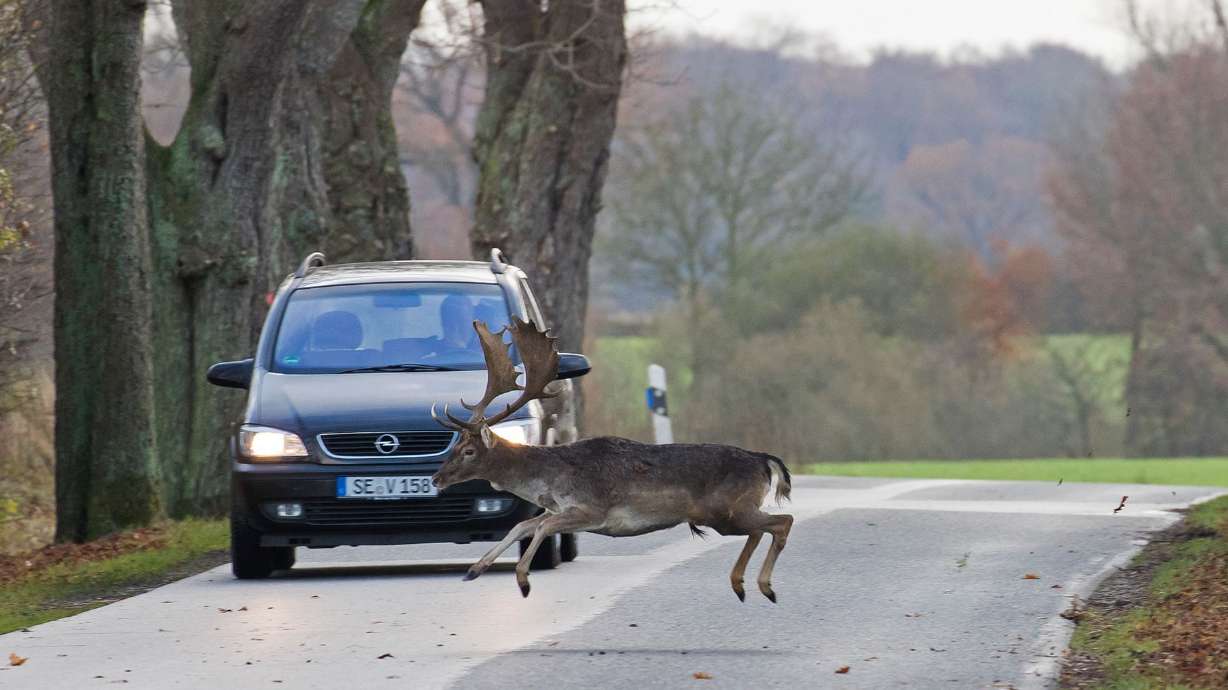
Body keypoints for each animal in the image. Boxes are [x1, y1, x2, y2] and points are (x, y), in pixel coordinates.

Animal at [430, 317, 794, 601]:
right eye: (457, 445)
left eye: (469, 451)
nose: (436, 478)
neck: (549, 479)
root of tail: (763, 460)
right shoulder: (560, 509)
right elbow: (523, 525)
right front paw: (474, 570)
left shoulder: (592, 509)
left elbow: (542, 526)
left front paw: (522, 579)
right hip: (728, 515)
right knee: (763, 528)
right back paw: (742, 585)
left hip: (727, 510)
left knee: (782, 521)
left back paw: (763, 586)